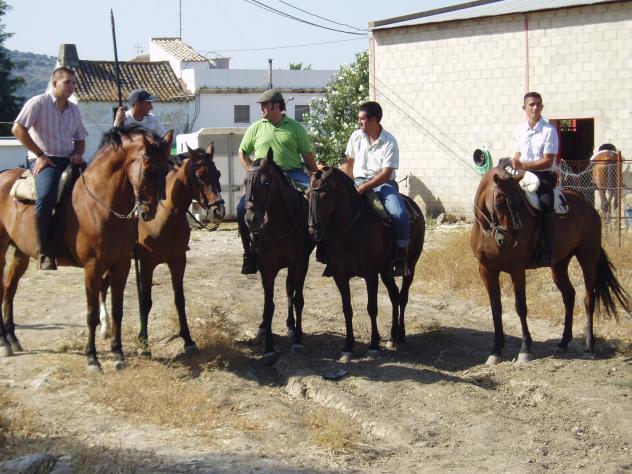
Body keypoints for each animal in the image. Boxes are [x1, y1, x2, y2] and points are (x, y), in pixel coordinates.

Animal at [0, 126, 172, 371]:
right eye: (147, 170)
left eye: (166, 170)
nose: (149, 211)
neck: (102, 204)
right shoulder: (93, 267)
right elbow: (91, 314)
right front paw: (92, 358)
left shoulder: (121, 265)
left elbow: (118, 309)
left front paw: (118, 353)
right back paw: (5, 343)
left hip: (20, 253)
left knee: (9, 288)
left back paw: (12, 339)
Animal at [99, 143, 225, 354]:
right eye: (200, 176)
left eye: (219, 174)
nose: (218, 211)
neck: (164, 217)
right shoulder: (147, 263)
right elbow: (146, 301)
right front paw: (144, 342)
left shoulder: (178, 260)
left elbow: (179, 299)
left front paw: (188, 340)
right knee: (102, 284)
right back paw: (105, 327)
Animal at [242, 149, 314, 365]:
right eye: (245, 182)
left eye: (267, 182)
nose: (251, 219)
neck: (280, 225)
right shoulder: (267, 268)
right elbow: (269, 305)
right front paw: (268, 348)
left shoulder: (300, 264)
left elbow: (298, 299)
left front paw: (298, 340)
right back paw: (262, 328)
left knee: (290, 290)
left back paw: (291, 327)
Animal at [307, 166, 425, 362]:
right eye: (307, 194)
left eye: (325, 195)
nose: (313, 232)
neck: (349, 228)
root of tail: (414, 207)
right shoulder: (340, 276)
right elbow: (347, 309)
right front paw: (348, 347)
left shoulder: (370, 274)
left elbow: (372, 308)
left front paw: (373, 345)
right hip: (386, 272)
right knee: (394, 296)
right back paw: (392, 337)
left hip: (410, 266)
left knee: (403, 297)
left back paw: (400, 335)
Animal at [471, 158, 631, 365]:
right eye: (498, 201)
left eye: (518, 202)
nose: (508, 240)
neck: (487, 232)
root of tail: (587, 205)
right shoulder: (486, 270)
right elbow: (496, 309)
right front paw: (496, 351)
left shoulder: (516, 270)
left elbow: (520, 307)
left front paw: (525, 350)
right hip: (560, 264)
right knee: (569, 296)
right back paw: (563, 342)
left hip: (588, 256)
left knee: (589, 298)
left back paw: (589, 344)